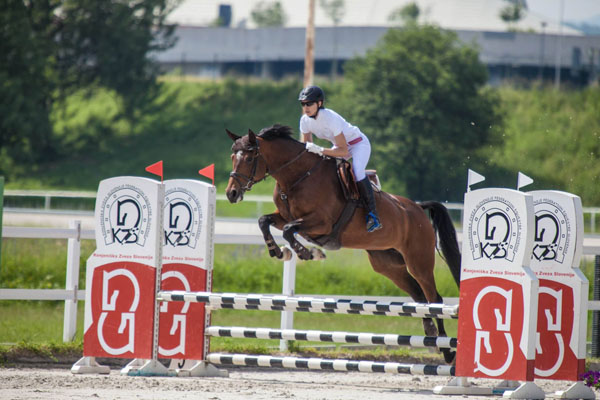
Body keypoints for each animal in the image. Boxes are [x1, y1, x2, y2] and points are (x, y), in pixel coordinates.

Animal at [227, 124, 462, 362]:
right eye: (232, 157)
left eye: (249, 158)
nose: (231, 194)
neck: (297, 177)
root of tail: (417, 208)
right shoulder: (284, 216)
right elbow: (264, 221)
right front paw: (278, 251)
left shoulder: (321, 222)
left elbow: (288, 230)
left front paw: (306, 253)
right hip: (388, 264)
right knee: (419, 296)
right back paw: (431, 334)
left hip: (418, 261)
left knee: (434, 298)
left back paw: (446, 349)